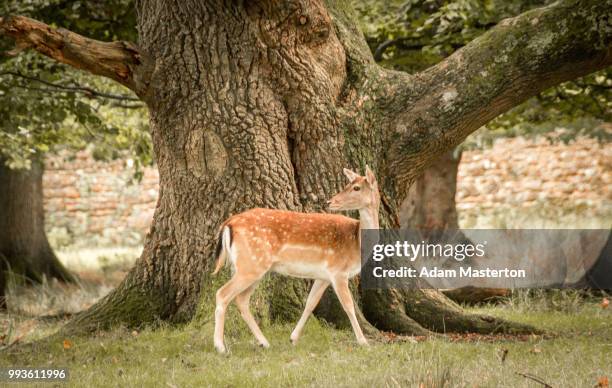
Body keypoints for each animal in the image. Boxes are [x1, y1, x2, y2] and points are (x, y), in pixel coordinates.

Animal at [213, 165, 380, 354]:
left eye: (356, 187)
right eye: (348, 185)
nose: (330, 202)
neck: (356, 244)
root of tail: (228, 223)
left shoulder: (324, 276)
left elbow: (310, 303)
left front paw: (293, 338)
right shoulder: (338, 271)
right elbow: (348, 305)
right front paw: (364, 342)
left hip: (249, 267)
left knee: (241, 300)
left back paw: (264, 342)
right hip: (251, 264)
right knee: (222, 294)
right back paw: (220, 346)